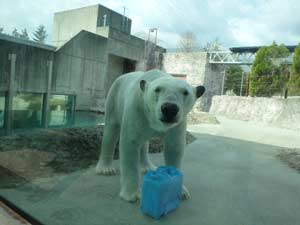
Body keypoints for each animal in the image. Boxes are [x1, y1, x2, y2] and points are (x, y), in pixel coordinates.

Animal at [95, 69, 205, 202]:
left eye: (185, 92)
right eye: (157, 89)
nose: (169, 109)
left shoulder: (178, 123)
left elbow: (174, 148)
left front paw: (181, 190)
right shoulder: (137, 109)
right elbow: (130, 144)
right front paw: (132, 194)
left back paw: (148, 167)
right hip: (114, 99)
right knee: (110, 131)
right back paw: (105, 169)